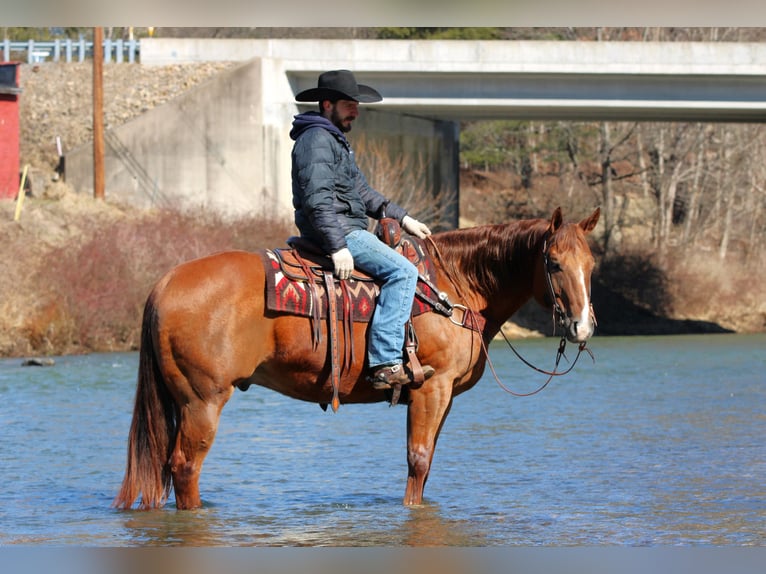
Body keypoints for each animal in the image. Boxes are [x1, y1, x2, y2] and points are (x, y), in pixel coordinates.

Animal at [114, 206, 600, 510]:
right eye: (554, 263)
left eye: (591, 265)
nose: (582, 326)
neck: (454, 285)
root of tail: (165, 282)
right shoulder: (432, 388)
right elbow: (418, 461)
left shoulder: (444, 398)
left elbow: (428, 464)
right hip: (203, 401)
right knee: (185, 468)